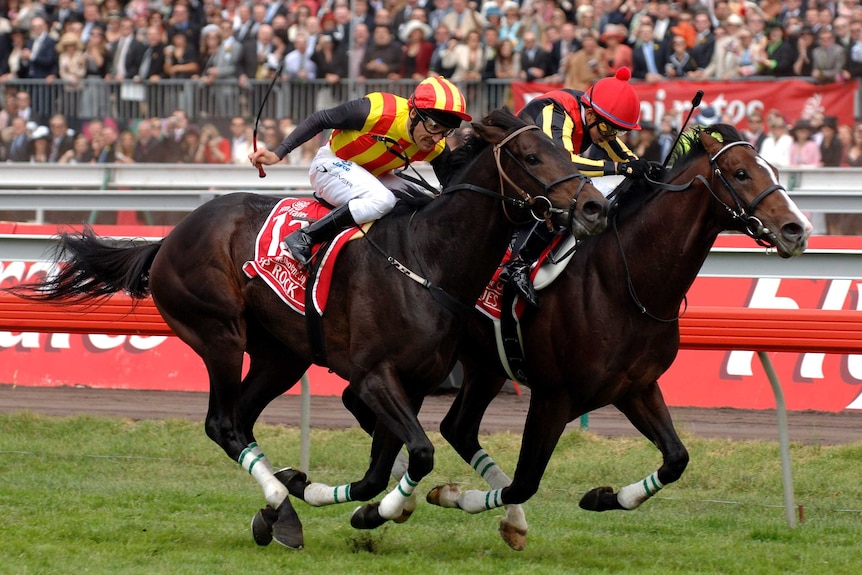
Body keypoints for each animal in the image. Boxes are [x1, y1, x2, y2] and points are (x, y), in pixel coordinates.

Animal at [10, 108, 612, 548]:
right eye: (532, 156)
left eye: (569, 151)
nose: (594, 207)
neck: (428, 259)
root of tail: (170, 236)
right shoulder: (374, 378)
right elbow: (417, 454)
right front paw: (366, 506)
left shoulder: (412, 384)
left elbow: (382, 466)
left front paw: (342, 498)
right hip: (220, 335)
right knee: (222, 423)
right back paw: (281, 511)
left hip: (281, 355)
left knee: (241, 421)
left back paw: (277, 508)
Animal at [424, 125, 816, 548]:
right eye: (741, 173)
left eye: (773, 168)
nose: (797, 229)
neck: (620, 283)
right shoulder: (553, 397)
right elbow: (524, 482)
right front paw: (456, 496)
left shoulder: (635, 387)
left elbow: (676, 458)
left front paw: (602, 497)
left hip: (486, 367)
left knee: (458, 429)